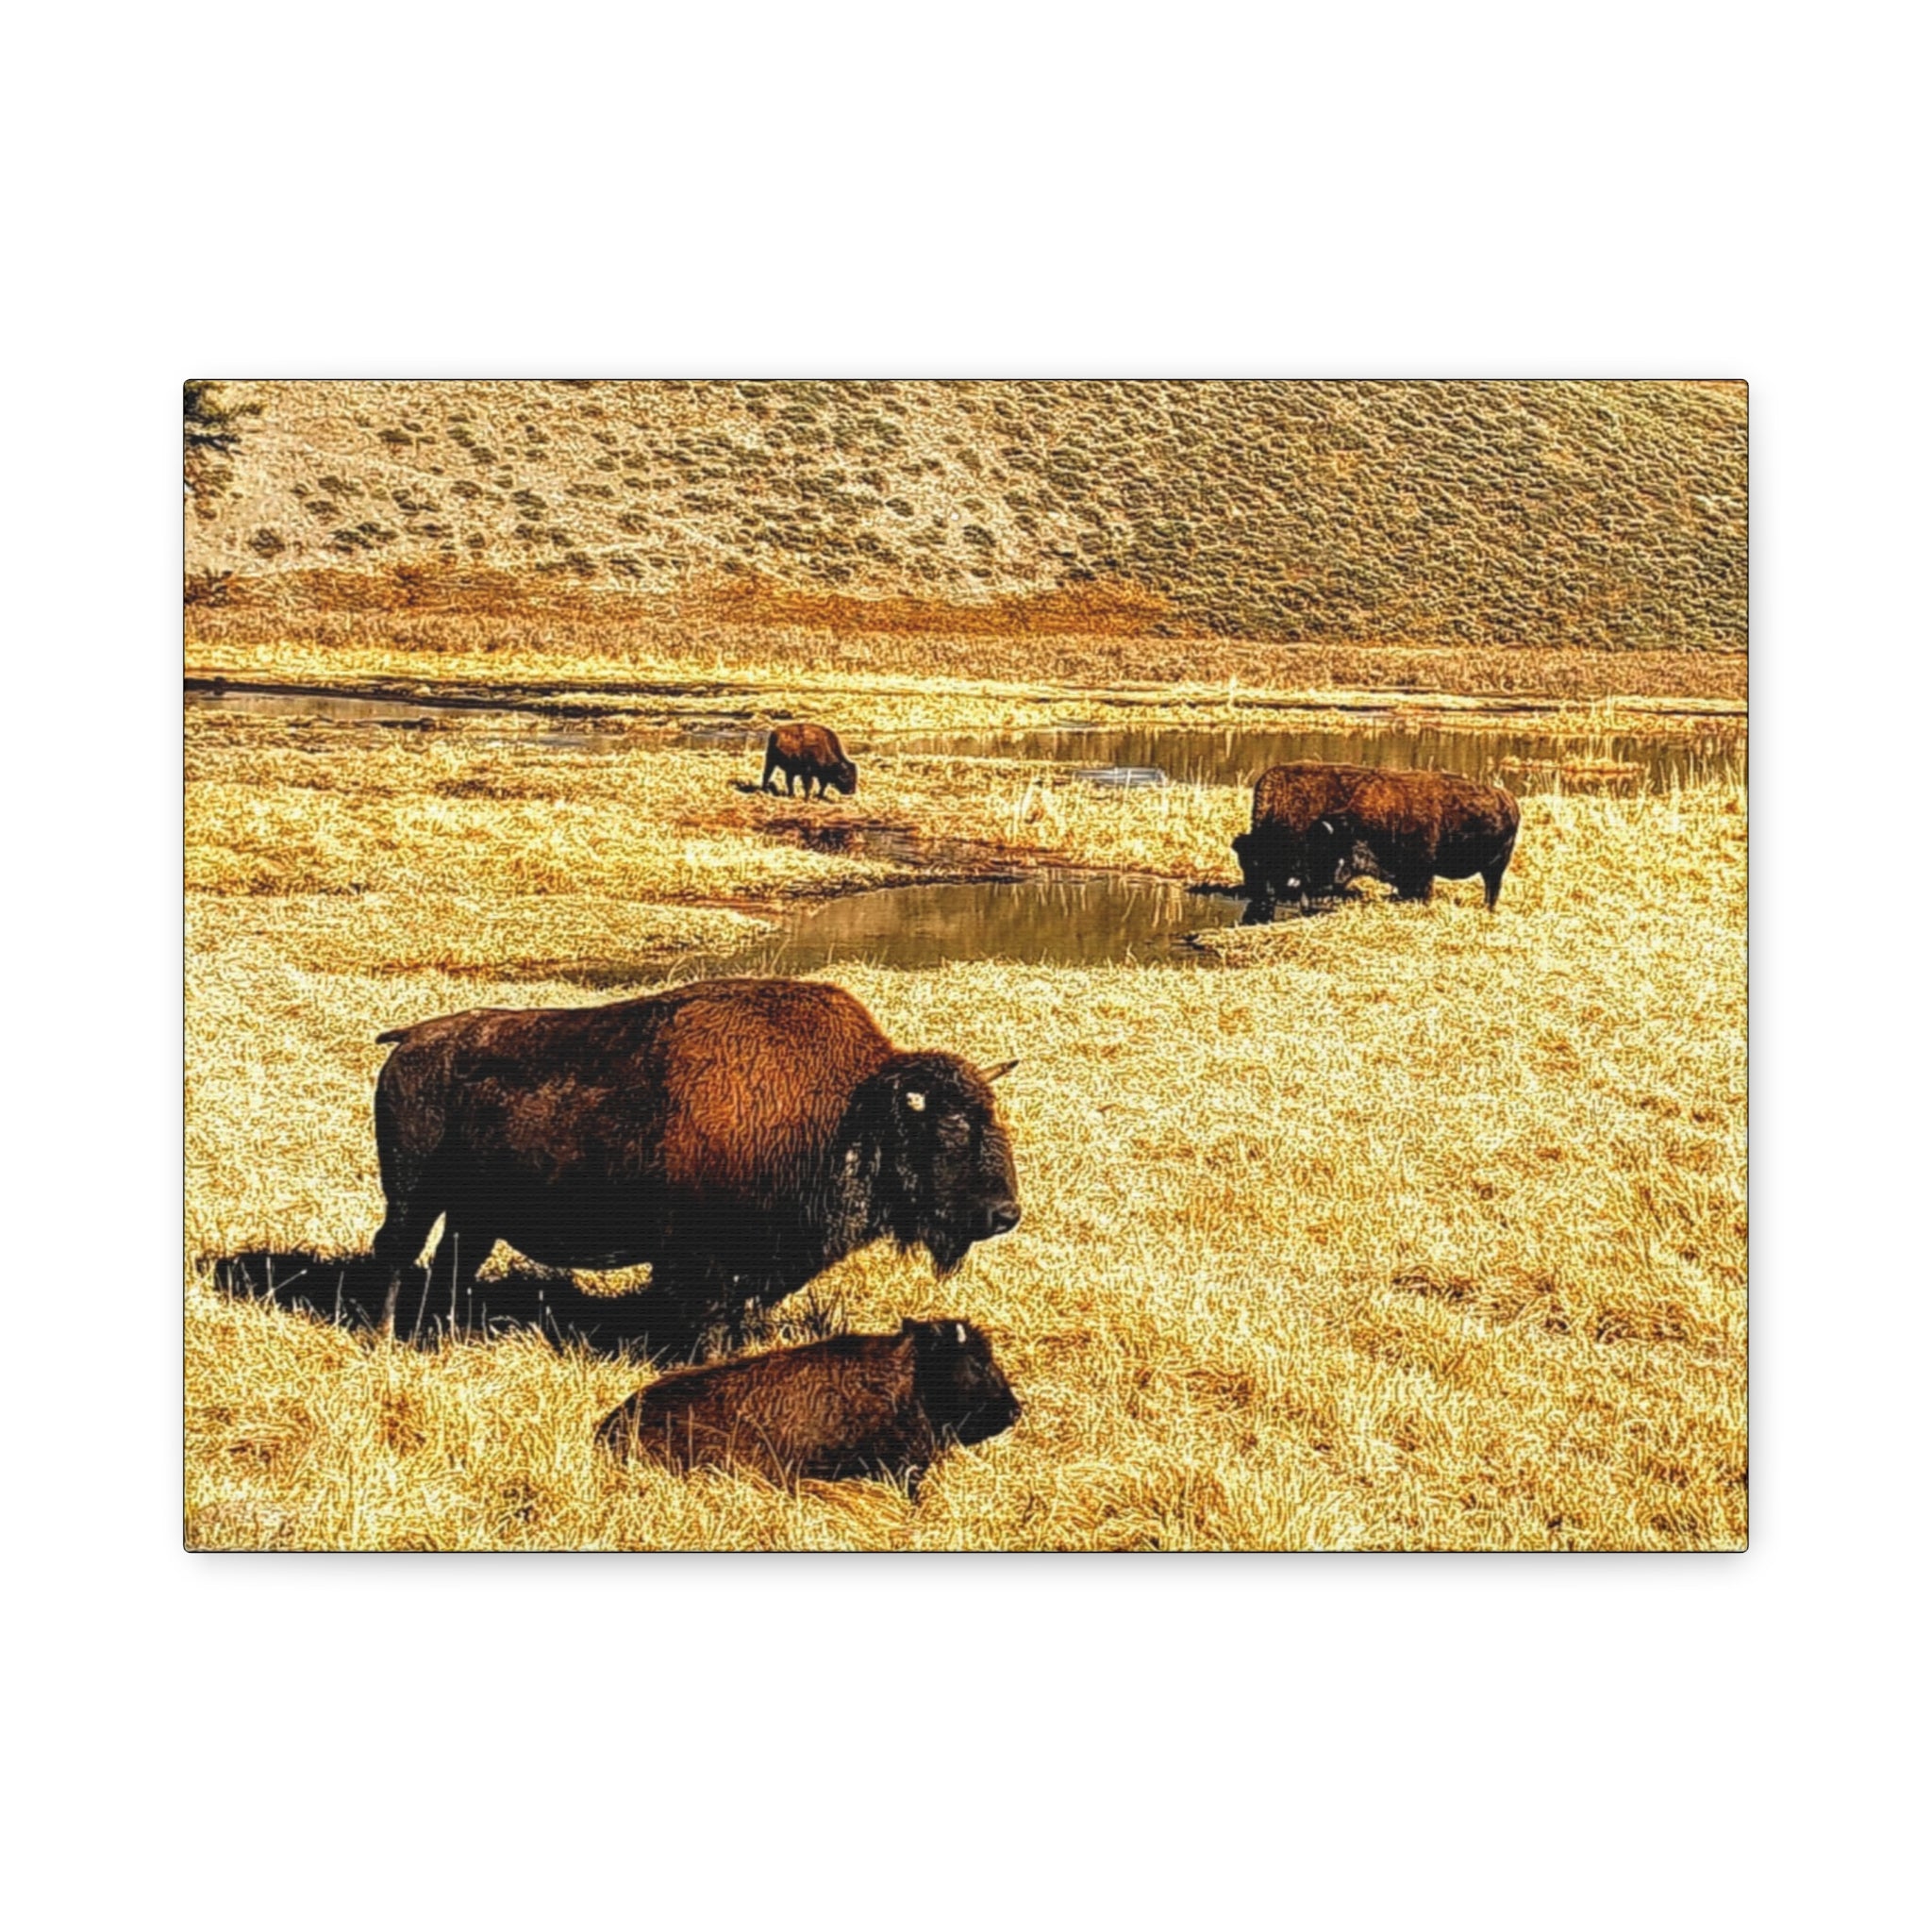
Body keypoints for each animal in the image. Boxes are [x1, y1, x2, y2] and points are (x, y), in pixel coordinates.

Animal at [370, 978, 1021, 1348]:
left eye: (995, 1121)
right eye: (949, 1129)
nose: (1005, 1214)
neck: (848, 1110)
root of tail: (412, 1039)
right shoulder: (701, 1258)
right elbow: (706, 1315)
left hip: (473, 1213)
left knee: (453, 1262)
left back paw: (446, 1332)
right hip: (412, 1196)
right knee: (396, 1253)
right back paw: (385, 1337)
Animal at [1234, 762, 1520, 915]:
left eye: (1263, 863)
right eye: (1245, 863)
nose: (1256, 895)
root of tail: (1508, 799)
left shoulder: (1422, 871)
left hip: (1496, 866)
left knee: (1492, 887)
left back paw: (1488, 909)